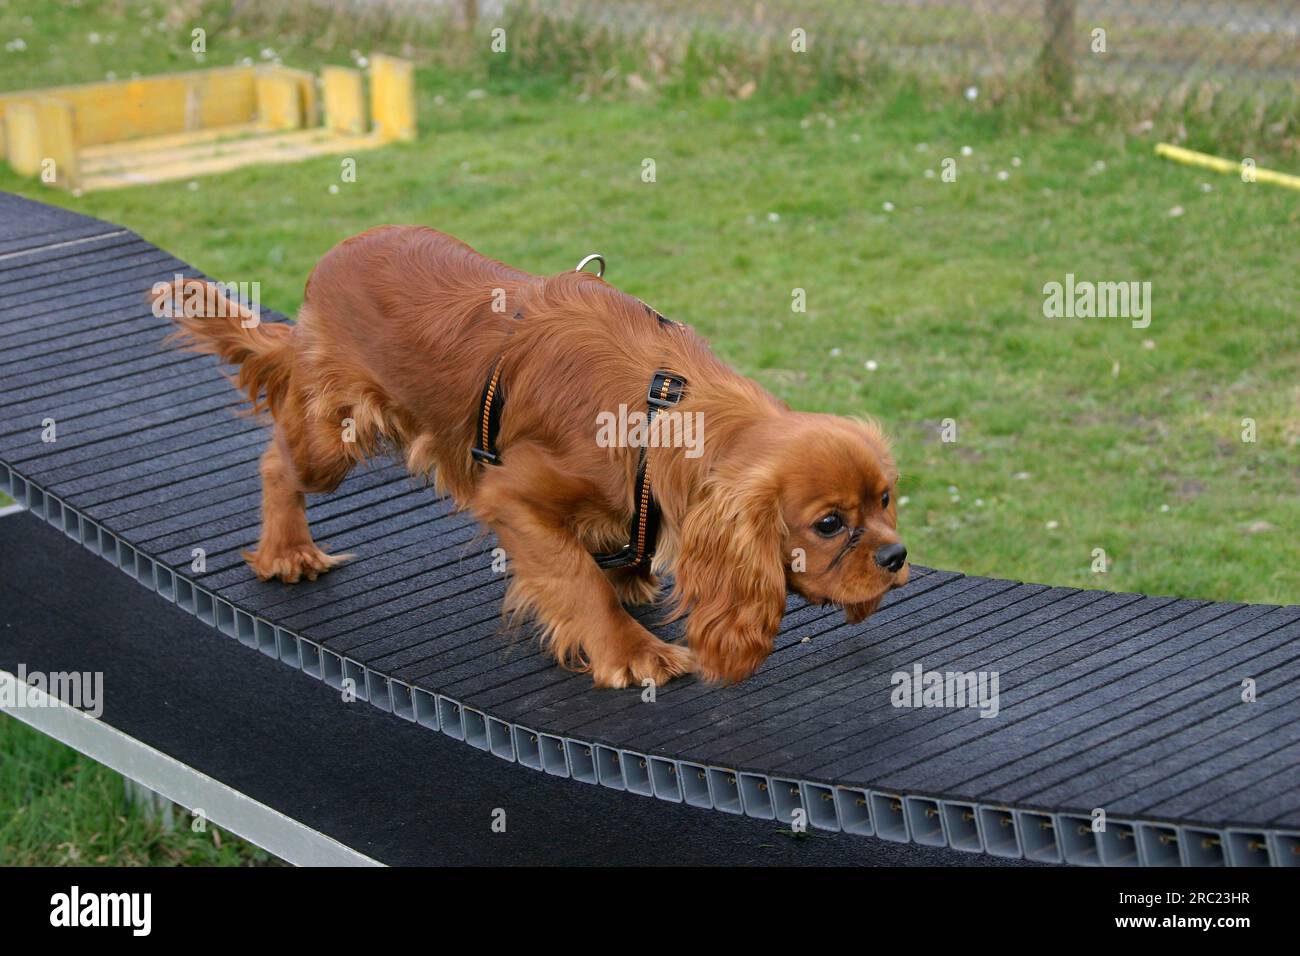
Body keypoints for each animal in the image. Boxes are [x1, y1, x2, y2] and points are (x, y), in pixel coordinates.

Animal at [157, 226, 909, 686]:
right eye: (829, 525)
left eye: (886, 500)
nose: (898, 557)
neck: (664, 406)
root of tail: (333, 257)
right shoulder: (512, 493)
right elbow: (575, 577)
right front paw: (631, 652)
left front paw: (628, 582)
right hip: (332, 440)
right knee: (279, 459)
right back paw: (287, 550)